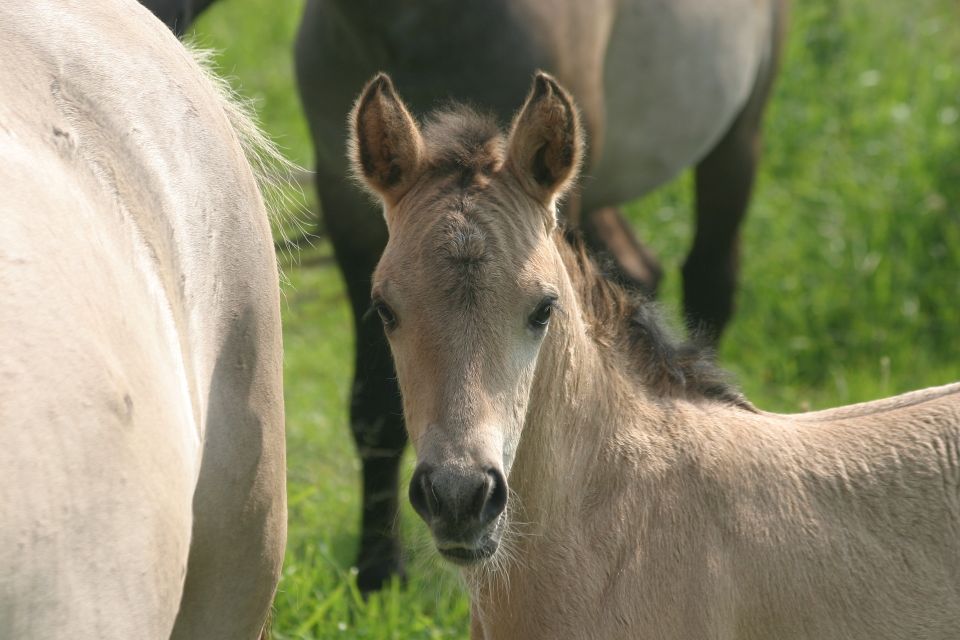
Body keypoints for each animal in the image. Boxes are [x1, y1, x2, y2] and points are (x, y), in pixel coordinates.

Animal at [295, 0, 788, 591]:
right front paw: (378, 573)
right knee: (638, 268)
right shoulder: (343, 199)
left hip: (737, 135)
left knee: (710, 276)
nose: (458, 497)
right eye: (385, 309)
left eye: (544, 310)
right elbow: (373, 410)